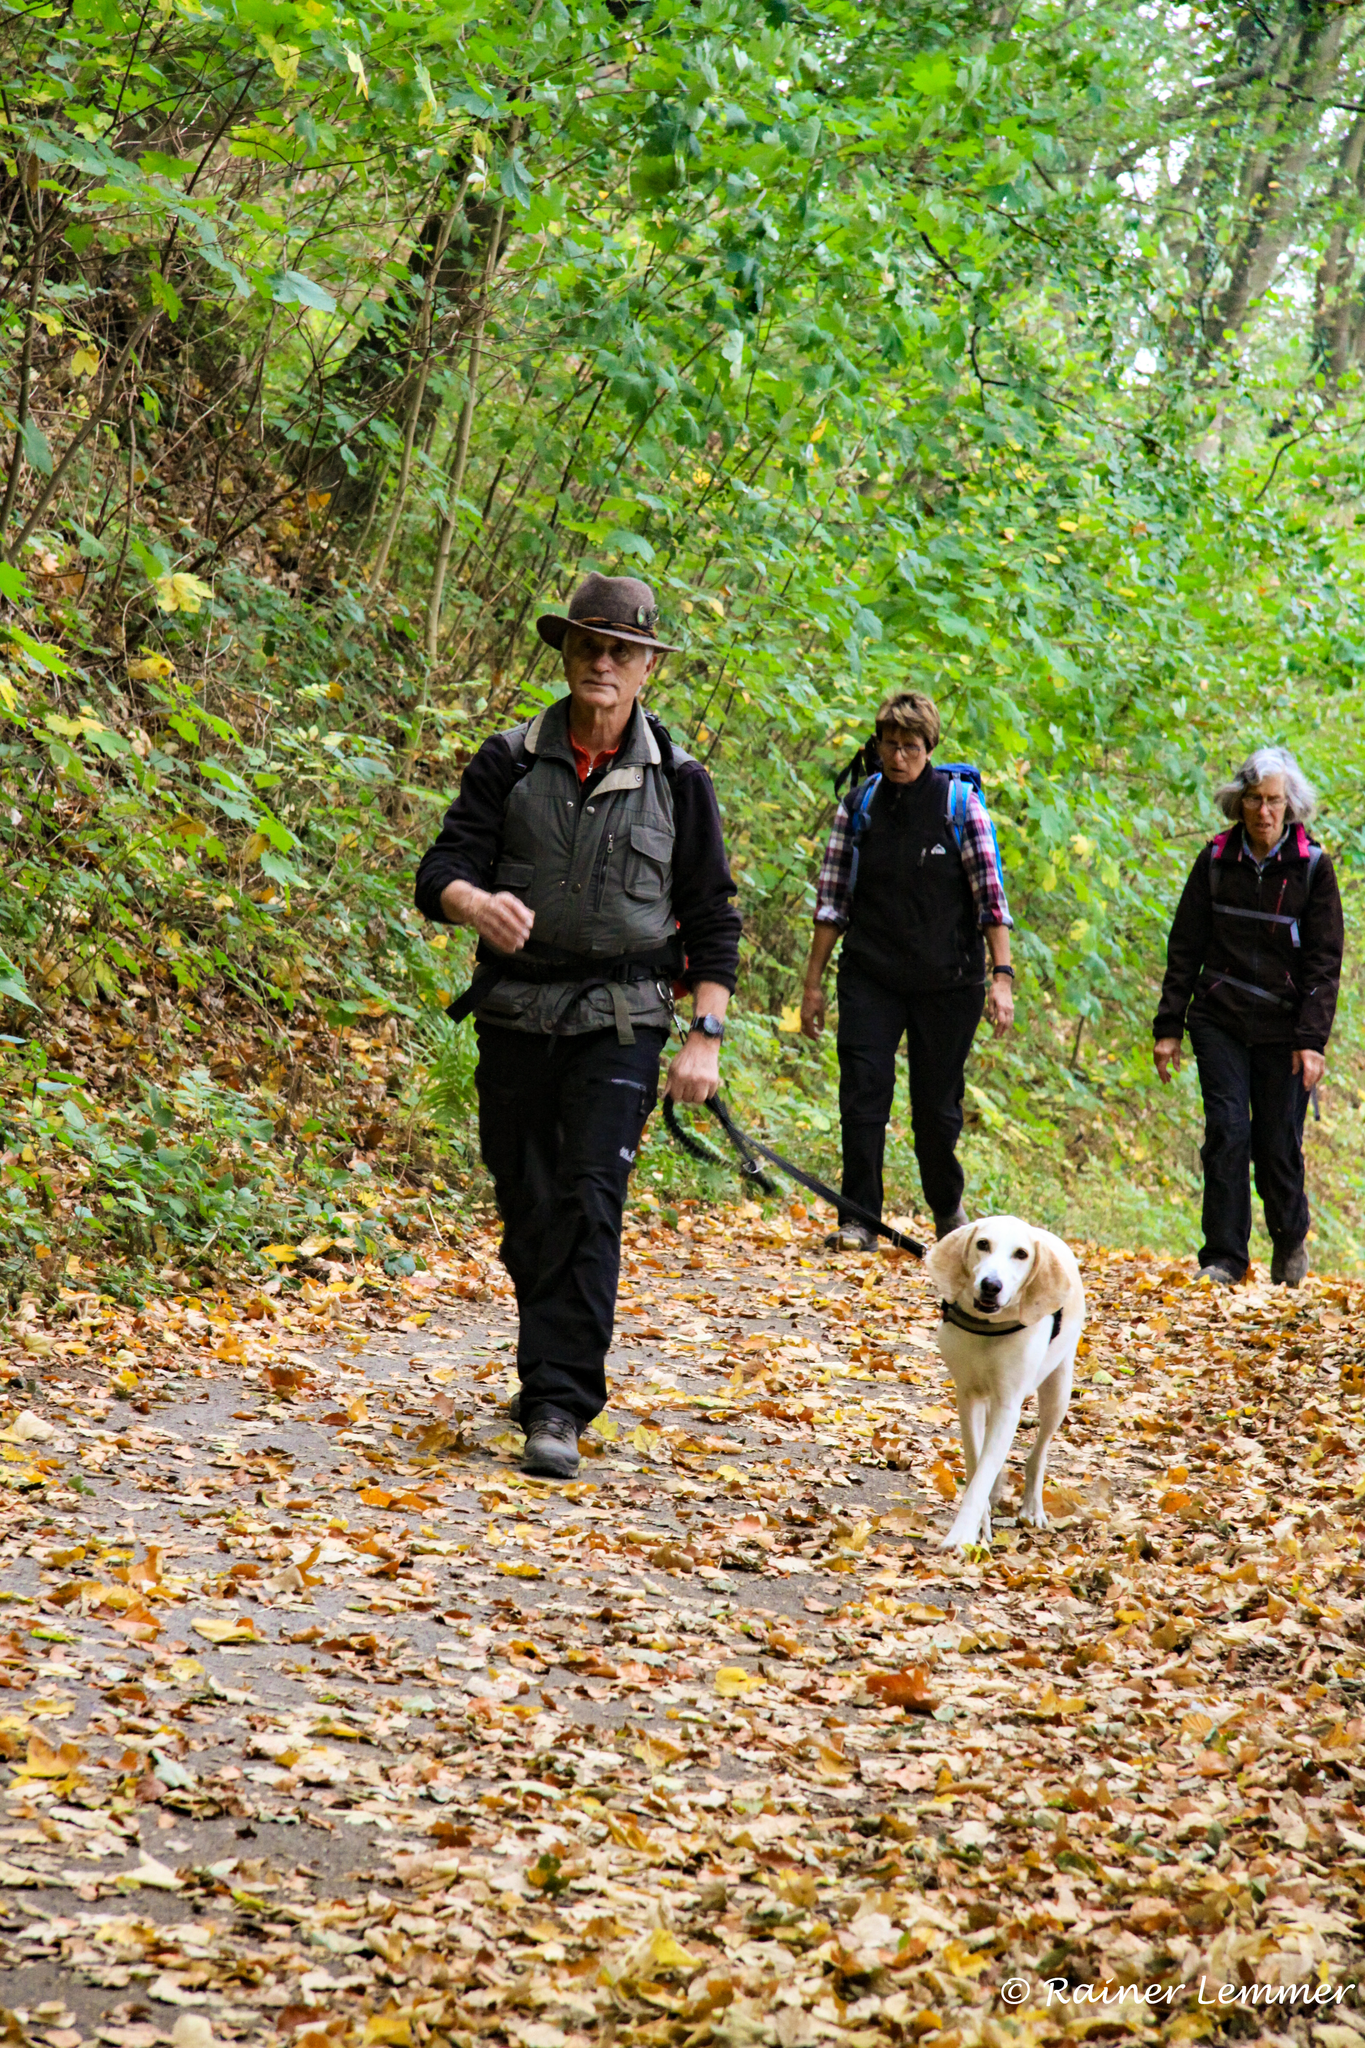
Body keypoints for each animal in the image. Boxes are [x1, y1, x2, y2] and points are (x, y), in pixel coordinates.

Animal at [925, 1212, 1080, 1548]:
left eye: (1021, 1254)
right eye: (983, 1244)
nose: (991, 1285)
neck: (988, 1328)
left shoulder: (1008, 1405)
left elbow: (983, 1472)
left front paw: (961, 1535)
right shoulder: (967, 1397)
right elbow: (975, 1463)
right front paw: (979, 1523)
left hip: (1058, 1391)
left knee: (1039, 1452)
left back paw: (1032, 1506)